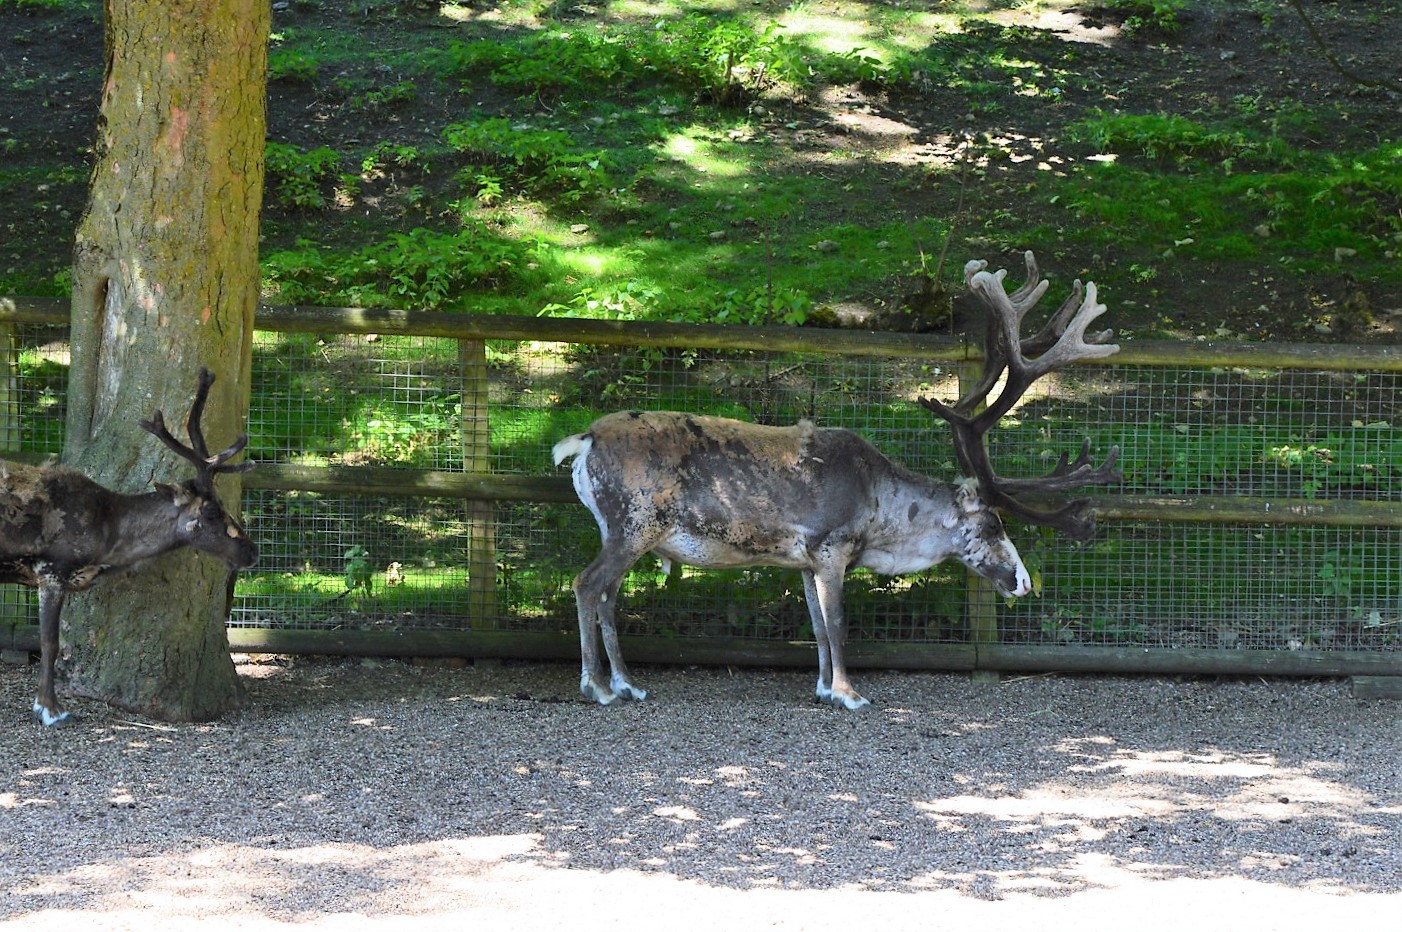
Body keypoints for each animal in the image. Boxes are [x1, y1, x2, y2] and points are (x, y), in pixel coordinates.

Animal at [0, 367, 259, 726]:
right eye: (210, 511)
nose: (251, 551)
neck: (109, 538)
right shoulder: (51, 569)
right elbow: (49, 643)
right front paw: (51, 710)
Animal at [552, 252, 1122, 709]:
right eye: (993, 526)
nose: (1024, 583)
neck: (881, 518)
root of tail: (581, 444)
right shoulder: (832, 546)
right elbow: (838, 624)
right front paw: (850, 694)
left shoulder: (804, 561)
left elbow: (817, 628)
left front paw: (825, 687)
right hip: (633, 523)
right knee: (587, 585)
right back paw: (598, 687)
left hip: (623, 531)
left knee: (607, 595)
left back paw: (628, 683)